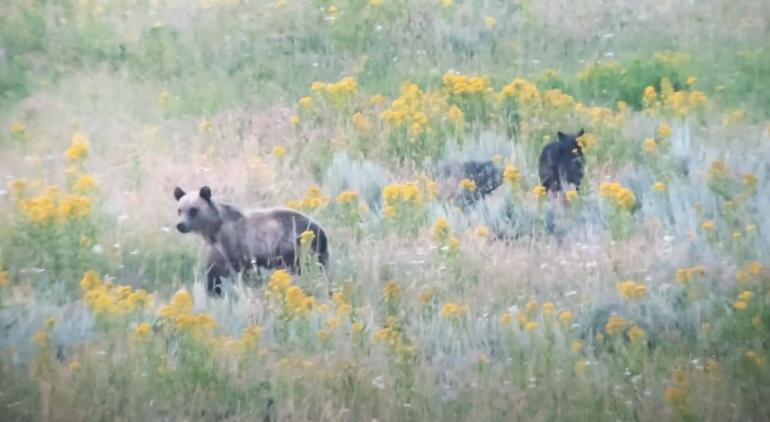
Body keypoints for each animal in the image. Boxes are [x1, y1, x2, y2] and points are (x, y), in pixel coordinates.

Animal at [173, 186, 330, 297]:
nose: (180, 225)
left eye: (193, 209)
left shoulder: (238, 245)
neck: (215, 230)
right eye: (180, 209)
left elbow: (239, 271)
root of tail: (321, 231)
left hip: (294, 246)